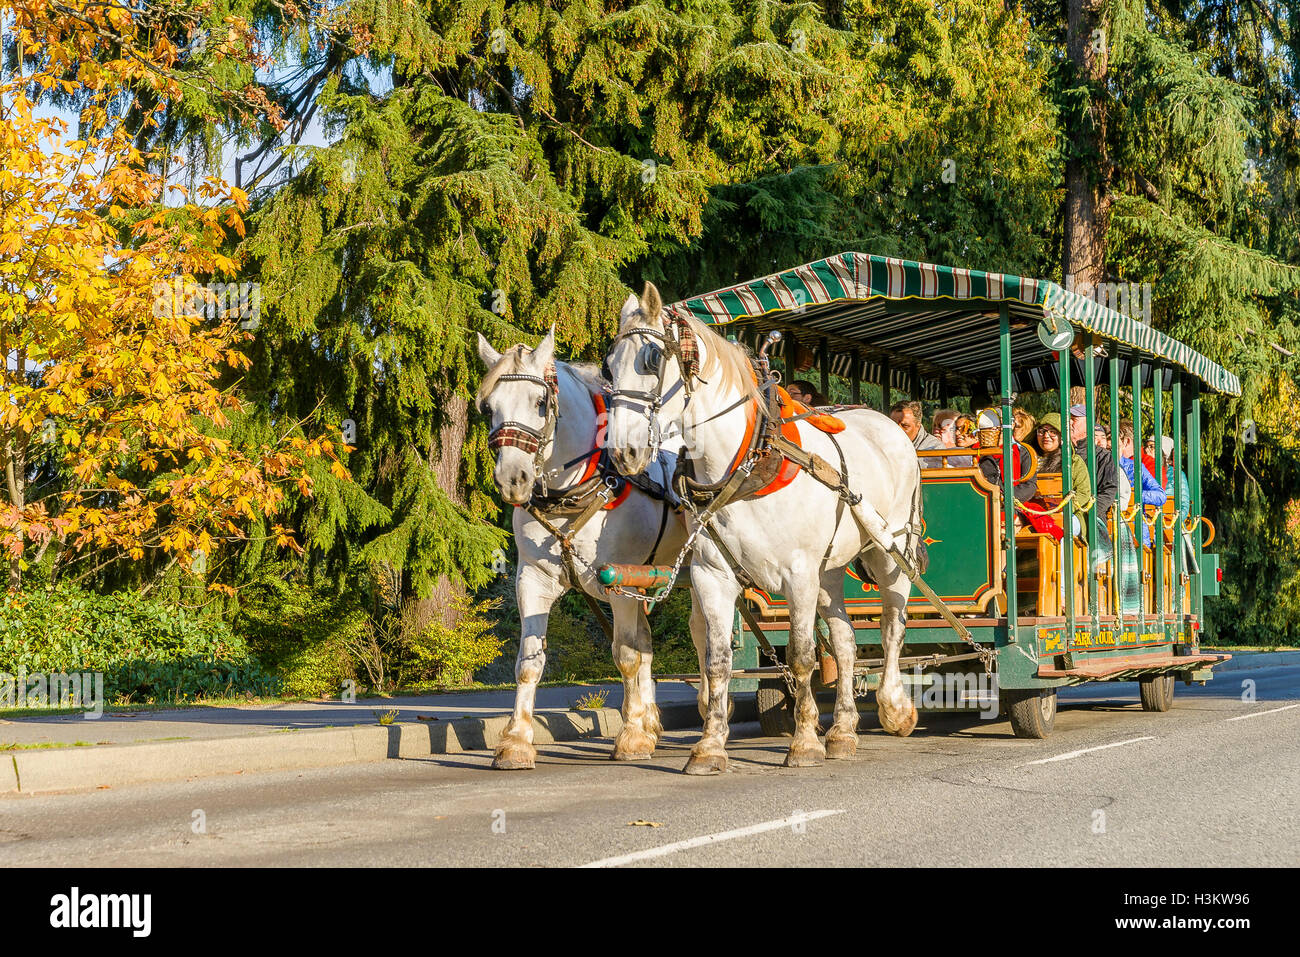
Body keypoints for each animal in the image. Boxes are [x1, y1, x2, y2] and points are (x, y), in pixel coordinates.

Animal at [478, 328, 702, 769]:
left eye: (540, 402)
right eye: (489, 407)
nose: (513, 479)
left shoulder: (621, 583)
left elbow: (626, 656)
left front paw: (631, 738)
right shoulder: (533, 579)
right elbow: (529, 661)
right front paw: (516, 741)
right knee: (648, 644)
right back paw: (651, 721)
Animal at [600, 282, 925, 769]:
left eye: (652, 360)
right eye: (608, 364)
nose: (625, 453)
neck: (748, 460)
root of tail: (888, 424)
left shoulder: (799, 575)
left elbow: (803, 657)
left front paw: (804, 741)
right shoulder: (712, 576)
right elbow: (718, 661)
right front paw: (710, 745)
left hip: (887, 551)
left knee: (892, 624)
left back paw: (894, 706)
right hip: (830, 570)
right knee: (846, 640)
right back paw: (843, 729)